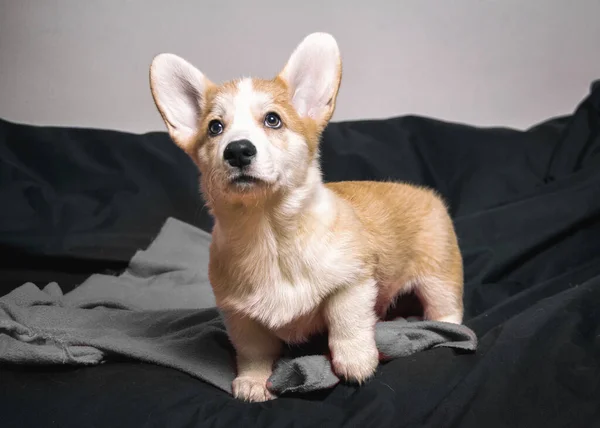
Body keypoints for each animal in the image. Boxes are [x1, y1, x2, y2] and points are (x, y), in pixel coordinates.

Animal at [149, 32, 464, 402]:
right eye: (215, 128)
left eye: (273, 120)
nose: (238, 150)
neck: (269, 232)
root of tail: (426, 194)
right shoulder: (240, 314)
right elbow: (253, 351)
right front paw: (253, 381)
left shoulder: (353, 283)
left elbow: (346, 321)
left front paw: (356, 360)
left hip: (438, 277)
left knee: (446, 309)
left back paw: (447, 329)